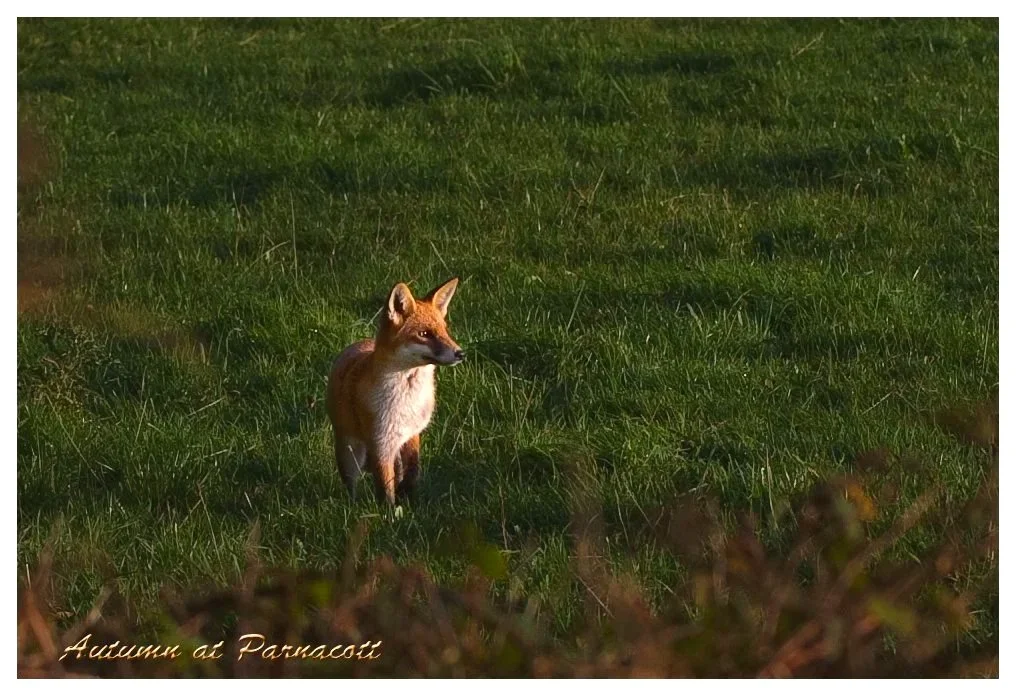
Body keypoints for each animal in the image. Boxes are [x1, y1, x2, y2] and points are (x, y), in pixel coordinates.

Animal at [326, 277, 464, 506]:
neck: (407, 402)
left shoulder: (412, 434)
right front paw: (389, 511)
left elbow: (412, 472)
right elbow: (385, 486)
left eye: (445, 331)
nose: (460, 353)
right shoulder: (380, 443)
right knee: (351, 485)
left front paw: (407, 497)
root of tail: (355, 345)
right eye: (424, 334)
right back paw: (352, 506)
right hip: (349, 452)